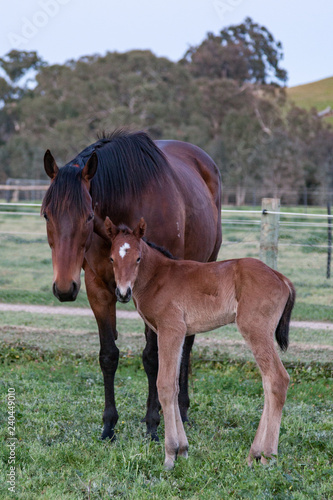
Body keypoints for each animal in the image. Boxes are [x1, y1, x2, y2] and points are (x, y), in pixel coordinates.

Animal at [105, 218, 294, 468]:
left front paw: (170, 455)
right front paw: (183, 449)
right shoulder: (178, 334)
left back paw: (268, 456)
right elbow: (175, 386)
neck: (158, 277)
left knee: (277, 379)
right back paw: (253, 453)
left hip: (255, 329)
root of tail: (280, 277)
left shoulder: (171, 330)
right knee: (267, 382)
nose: (123, 293)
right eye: (111, 259)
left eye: (137, 258)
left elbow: (165, 385)